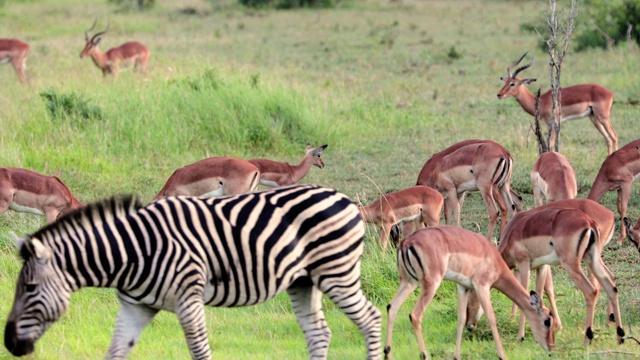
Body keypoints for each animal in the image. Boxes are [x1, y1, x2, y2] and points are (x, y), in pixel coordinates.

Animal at [5, 186, 382, 360]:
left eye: (30, 288)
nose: (9, 344)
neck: (133, 252)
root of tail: (343, 197)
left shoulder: (189, 298)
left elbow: (200, 350)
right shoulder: (135, 306)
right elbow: (115, 352)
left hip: (337, 272)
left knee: (371, 319)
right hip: (304, 280)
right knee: (319, 333)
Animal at [384, 226, 556, 358]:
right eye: (547, 321)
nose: (551, 348)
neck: (494, 259)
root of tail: (406, 242)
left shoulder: (463, 287)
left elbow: (461, 319)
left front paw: (457, 356)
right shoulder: (482, 286)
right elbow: (491, 317)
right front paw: (502, 355)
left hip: (408, 282)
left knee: (392, 307)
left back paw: (388, 354)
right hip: (431, 284)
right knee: (415, 315)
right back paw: (425, 355)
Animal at [496, 208, 624, 346]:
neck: (512, 233)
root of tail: (589, 222)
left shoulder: (524, 265)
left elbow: (525, 296)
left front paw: (520, 337)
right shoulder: (540, 267)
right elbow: (538, 296)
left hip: (571, 265)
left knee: (591, 291)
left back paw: (587, 340)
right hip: (591, 259)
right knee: (611, 283)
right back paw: (620, 337)